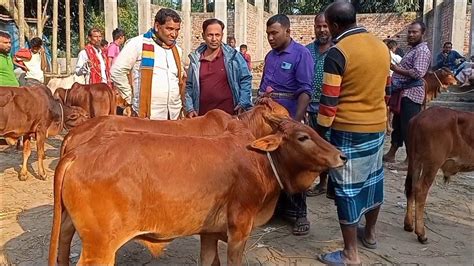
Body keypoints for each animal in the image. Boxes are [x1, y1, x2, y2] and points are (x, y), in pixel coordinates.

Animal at [48, 117, 344, 266]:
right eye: (303, 137)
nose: (341, 156)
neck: (259, 161)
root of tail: (78, 152)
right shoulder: (239, 231)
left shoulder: (209, 233)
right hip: (100, 247)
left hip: (68, 227)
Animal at [404, 107, 474, 244]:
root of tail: (420, 117)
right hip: (432, 164)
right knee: (421, 190)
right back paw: (421, 234)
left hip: (414, 160)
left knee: (410, 187)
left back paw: (408, 225)